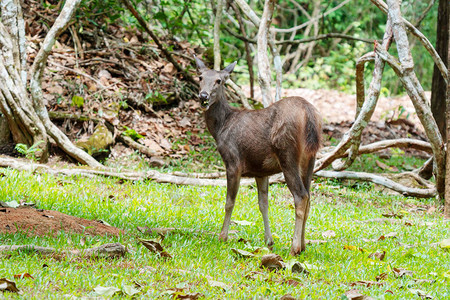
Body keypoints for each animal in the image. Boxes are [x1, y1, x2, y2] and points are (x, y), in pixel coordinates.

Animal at [195, 56, 322, 255]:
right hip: (310, 159)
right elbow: (263, 204)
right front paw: (269, 241)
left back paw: (294, 248)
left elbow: (229, 201)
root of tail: (309, 114)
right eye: (200, 77)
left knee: (301, 196)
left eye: (219, 80)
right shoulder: (261, 171)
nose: (203, 96)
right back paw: (302, 246)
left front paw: (222, 237)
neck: (220, 128)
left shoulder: (233, 161)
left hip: (287, 154)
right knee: (309, 197)